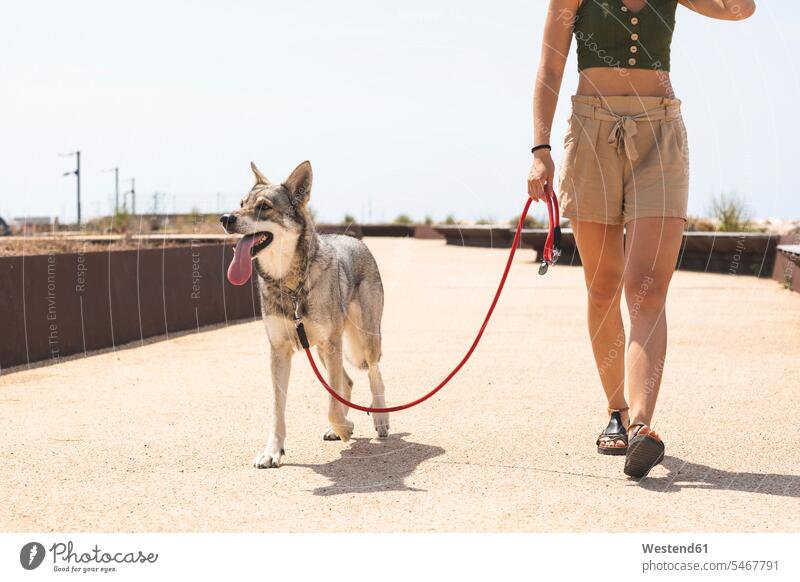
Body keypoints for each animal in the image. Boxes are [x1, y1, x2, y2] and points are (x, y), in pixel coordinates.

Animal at [220, 161, 390, 470]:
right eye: (241, 204)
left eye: (264, 207)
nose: (225, 218)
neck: (289, 284)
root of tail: (355, 240)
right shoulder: (279, 351)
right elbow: (278, 410)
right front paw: (272, 452)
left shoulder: (331, 345)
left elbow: (332, 406)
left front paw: (345, 427)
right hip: (324, 351)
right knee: (347, 382)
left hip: (363, 340)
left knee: (374, 373)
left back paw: (380, 419)